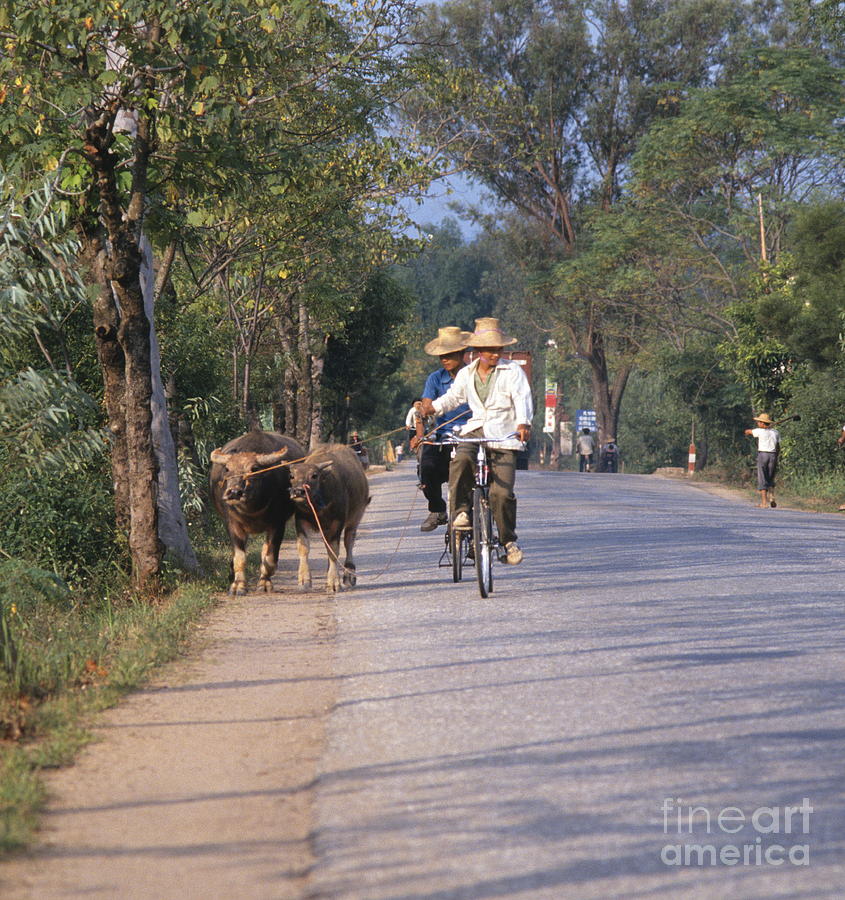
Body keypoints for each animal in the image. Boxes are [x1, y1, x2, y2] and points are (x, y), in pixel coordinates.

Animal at [209, 430, 304, 596]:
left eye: (254, 469)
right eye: (227, 469)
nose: (234, 493)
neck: (251, 509)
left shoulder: (277, 524)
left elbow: (270, 557)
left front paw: (265, 583)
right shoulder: (232, 524)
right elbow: (239, 557)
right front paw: (238, 586)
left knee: (265, 551)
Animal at [286, 442, 370, 592]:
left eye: (314, 475)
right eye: (292, 476)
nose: (298, 492)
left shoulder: (337, 523)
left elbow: (334, 551)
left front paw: (333, 582)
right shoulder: (301, 521)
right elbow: (303, 548)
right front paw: (304, 580)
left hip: (356, 516)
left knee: (349, 541)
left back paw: (349, 575)